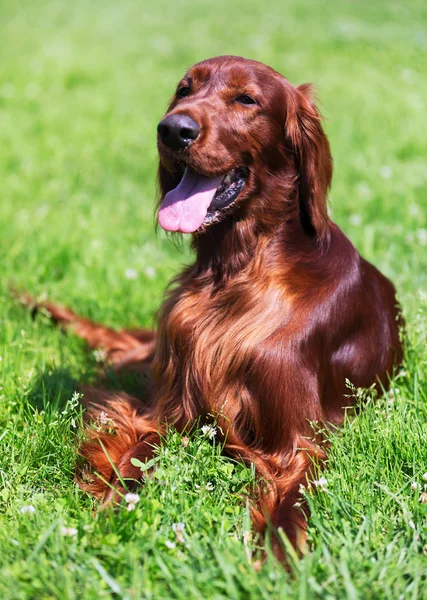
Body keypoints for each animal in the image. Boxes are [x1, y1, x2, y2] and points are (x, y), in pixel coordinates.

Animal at [24, 57, 404, 552]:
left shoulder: (299, 442)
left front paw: (280, 557)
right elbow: (134, 453)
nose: (173, 130)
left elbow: (292, 505)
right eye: (183, 90)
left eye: (246, 99)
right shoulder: (168, 410)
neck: (236, 271)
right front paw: (110, 506)